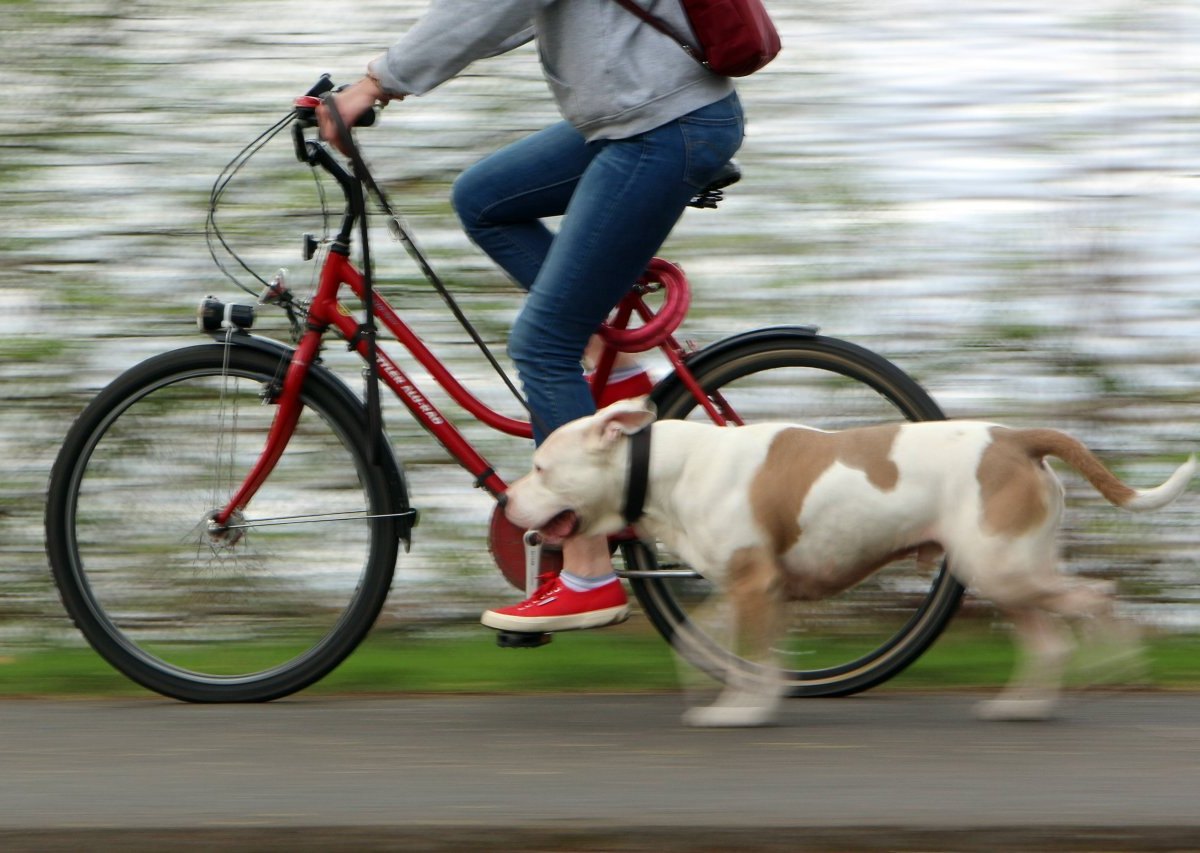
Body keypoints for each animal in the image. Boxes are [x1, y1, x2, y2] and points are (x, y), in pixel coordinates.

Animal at [501, 400, 1195, 729]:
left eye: (541, 467)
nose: (505, 499)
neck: (665, 468)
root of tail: (1017, 438)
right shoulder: (752, 589)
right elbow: (721, 648)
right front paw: (732, 695)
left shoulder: (755, 585)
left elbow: (751, 659)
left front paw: (742, 712)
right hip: (999, 569)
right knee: (1050, 639)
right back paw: (1021, 707)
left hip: (1002, 567)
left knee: (1098, 598)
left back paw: (1115, 661)